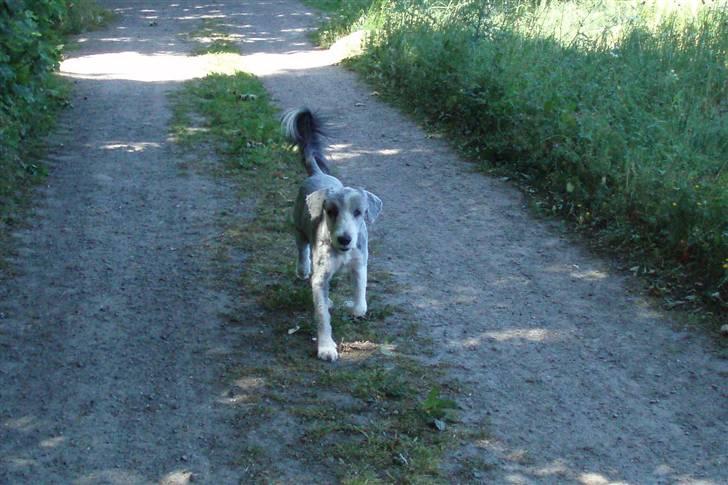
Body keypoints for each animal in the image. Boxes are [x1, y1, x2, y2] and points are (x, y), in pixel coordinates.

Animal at [282, 108, 384, 362]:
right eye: (331, 211)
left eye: (359, 212)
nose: (345, 239)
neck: (341, 253)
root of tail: (318, 173)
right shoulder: (321, 277)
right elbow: (322, 315)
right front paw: (326, 347)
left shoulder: (359, 265)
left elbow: (361, 302)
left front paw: (352, 307)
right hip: (298, 228)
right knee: (302, 250)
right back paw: (302, 269)